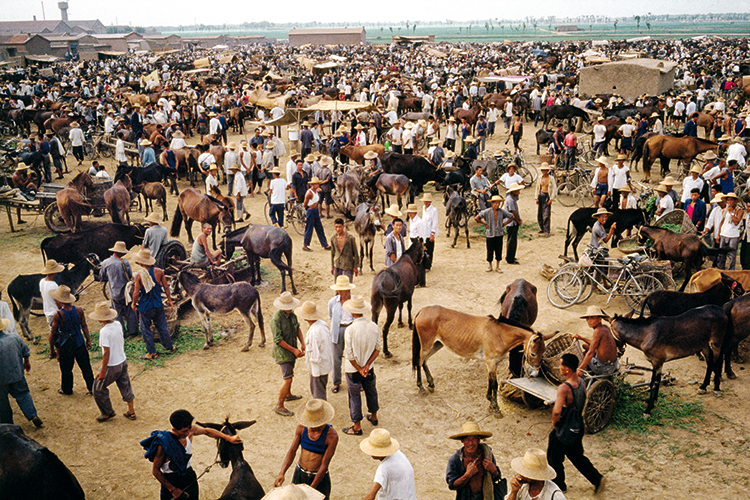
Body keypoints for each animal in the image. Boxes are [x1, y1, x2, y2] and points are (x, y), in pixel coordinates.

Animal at [414, 308, 548, 414]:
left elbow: (491, 382)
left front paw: (491, 402)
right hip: (427, 345)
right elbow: (494, 384)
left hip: (436, 344)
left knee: (424, 361)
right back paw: (421, 387)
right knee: (419, 362)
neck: (500, 334)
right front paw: (496, 407)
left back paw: (431, 384)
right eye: (533, 354)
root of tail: (423, 310)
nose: (535, 374)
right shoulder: (490, 363)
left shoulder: (493, 364)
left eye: (543, 353)